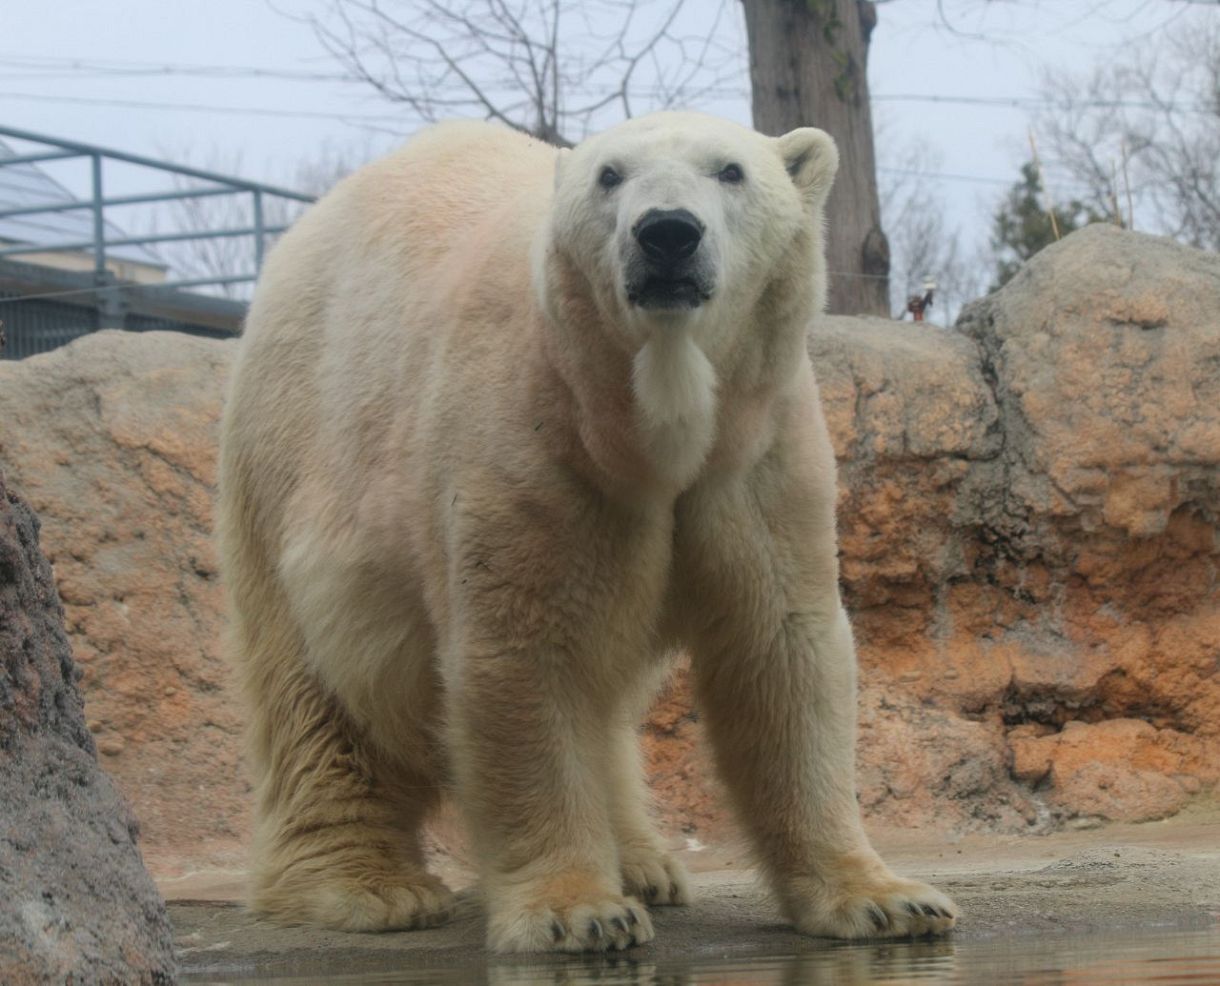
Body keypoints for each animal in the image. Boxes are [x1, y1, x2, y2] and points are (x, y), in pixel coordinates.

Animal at [219, 111, 961, 951]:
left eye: (730, 170)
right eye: (610, 175)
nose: (667, 232)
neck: (650, 427)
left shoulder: (758, 452)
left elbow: (782, 645)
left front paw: (889, 900)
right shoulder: (533, 439)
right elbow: (529, 655)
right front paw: (577, 912)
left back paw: (644, 862)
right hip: (295, 455)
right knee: (315, 689)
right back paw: (366, 886)